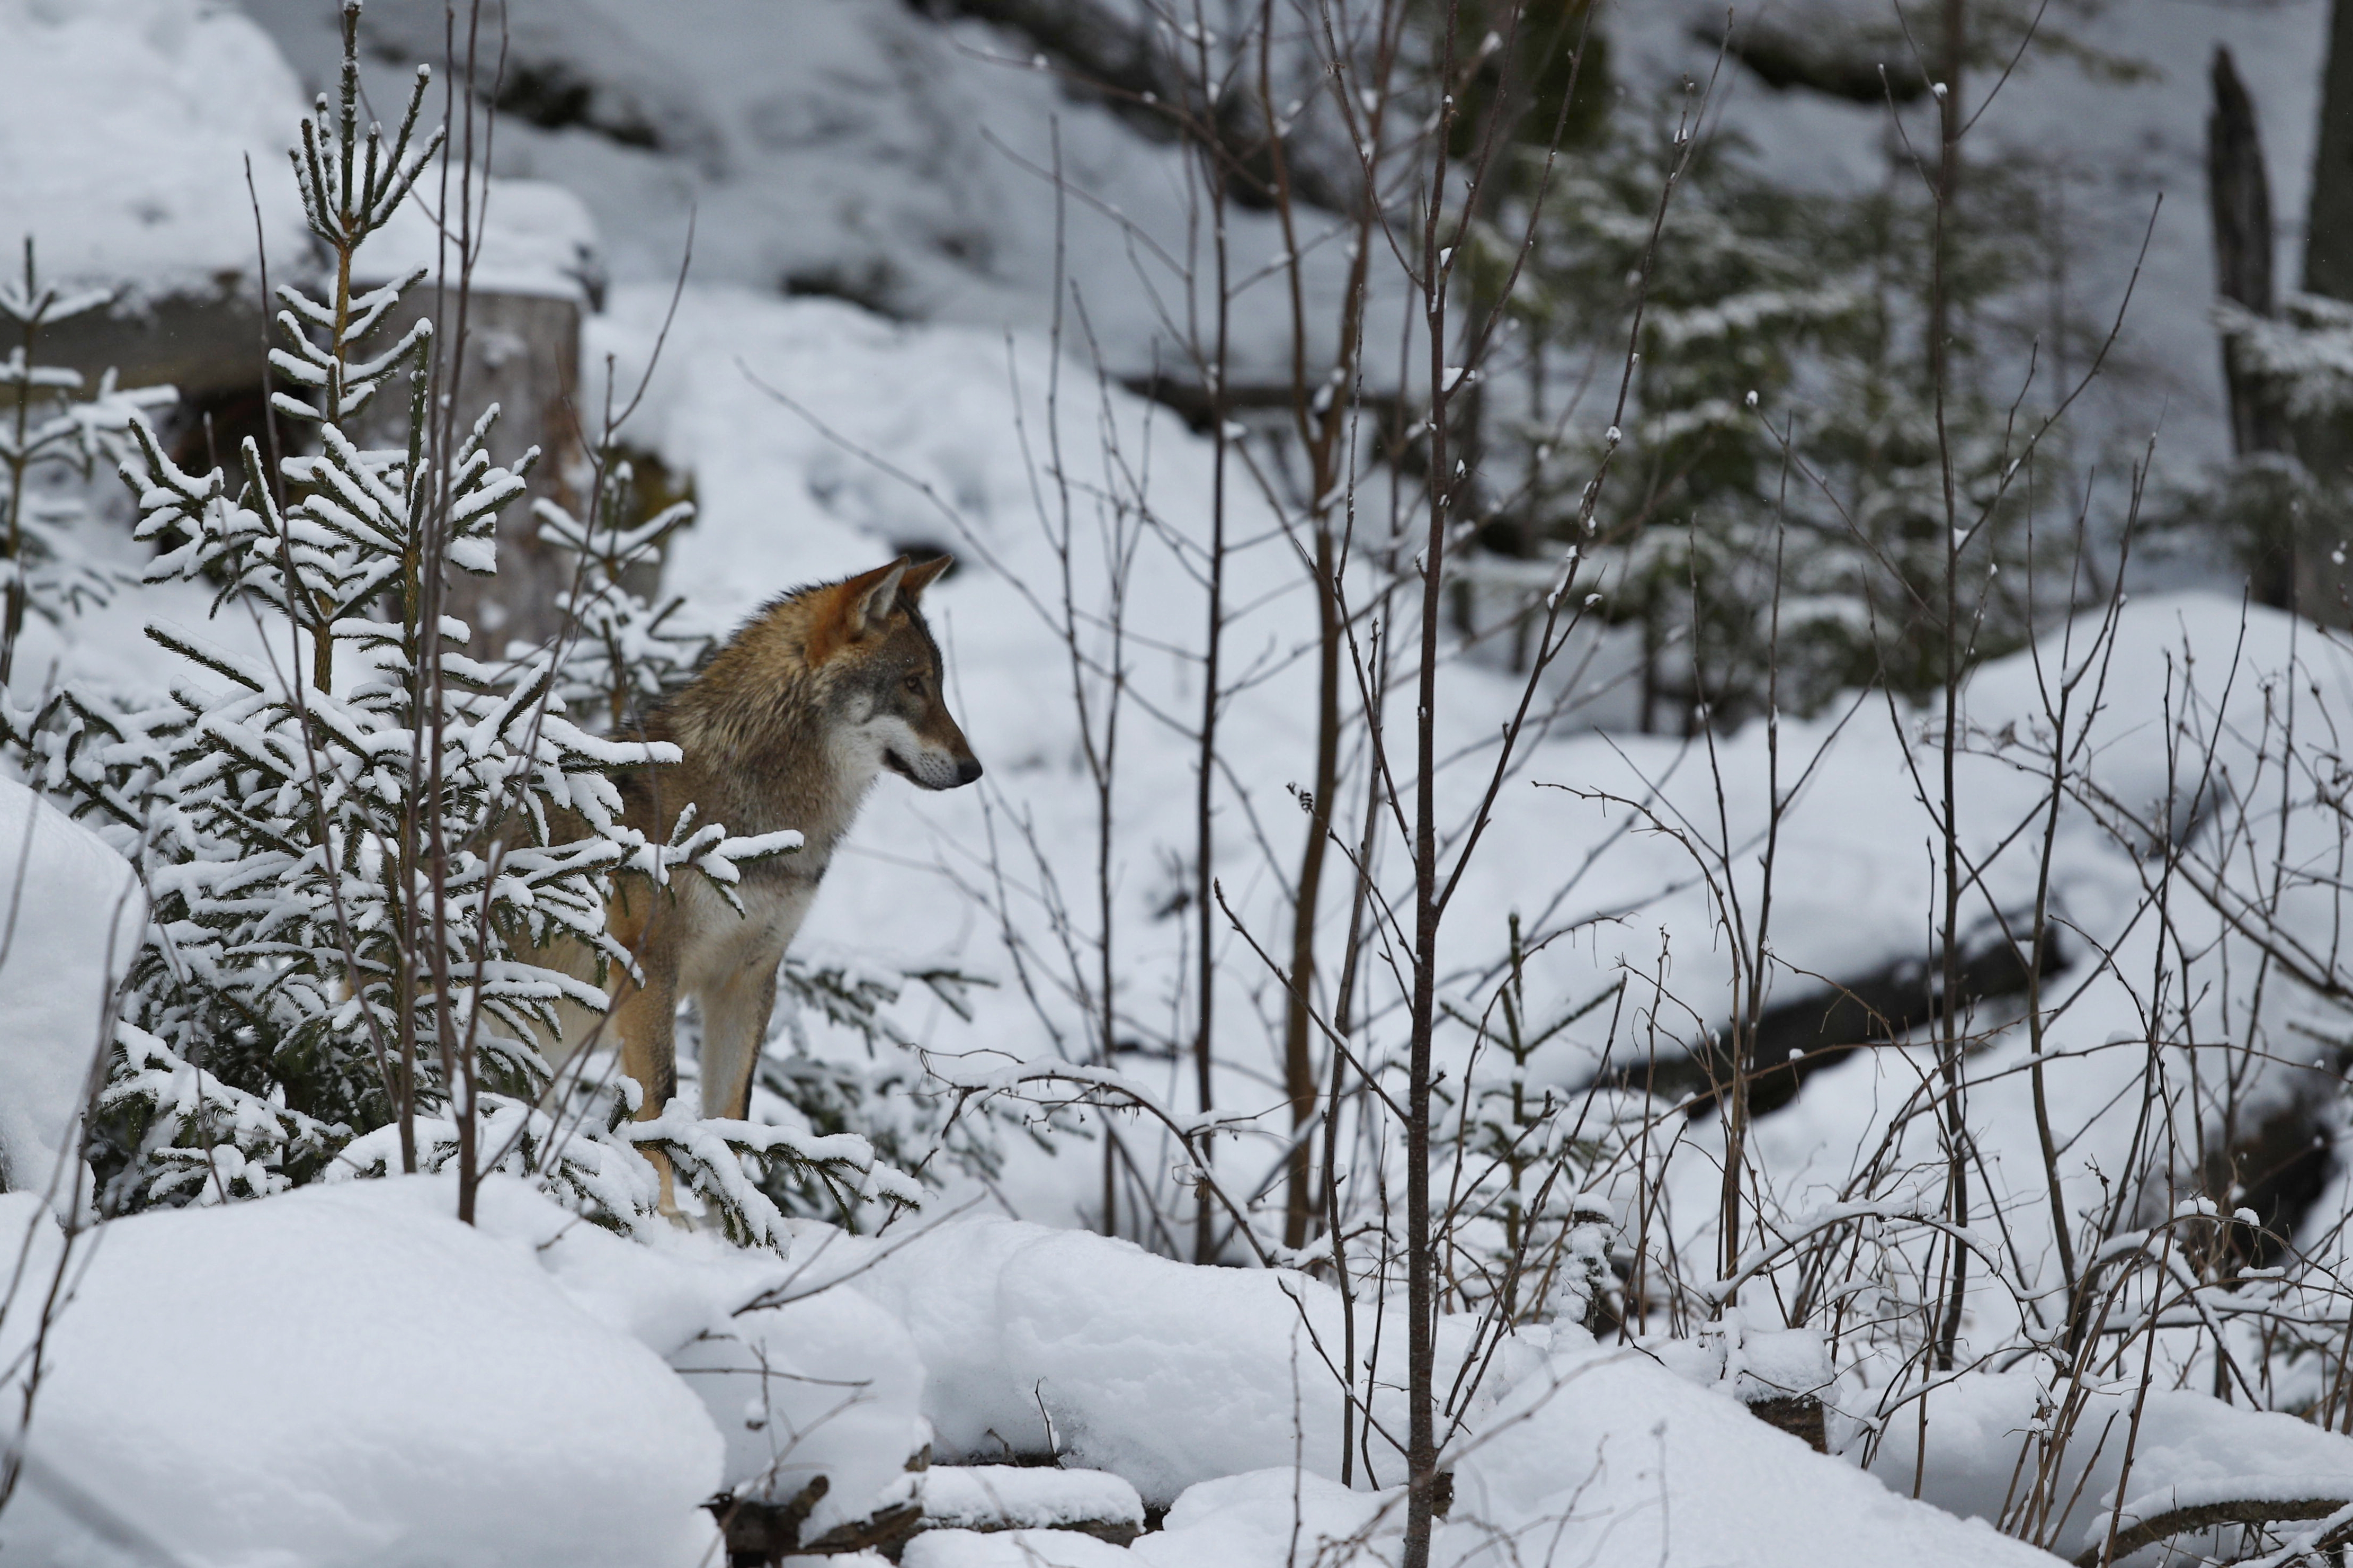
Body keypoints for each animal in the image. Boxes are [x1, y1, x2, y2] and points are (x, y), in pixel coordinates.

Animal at [546, 557, 978, 1133]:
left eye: (940, 686)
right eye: (913, 683)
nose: (974, 770)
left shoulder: (748, 980)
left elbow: (733, 1116)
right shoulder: (648, 973)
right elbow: (659, 1111)